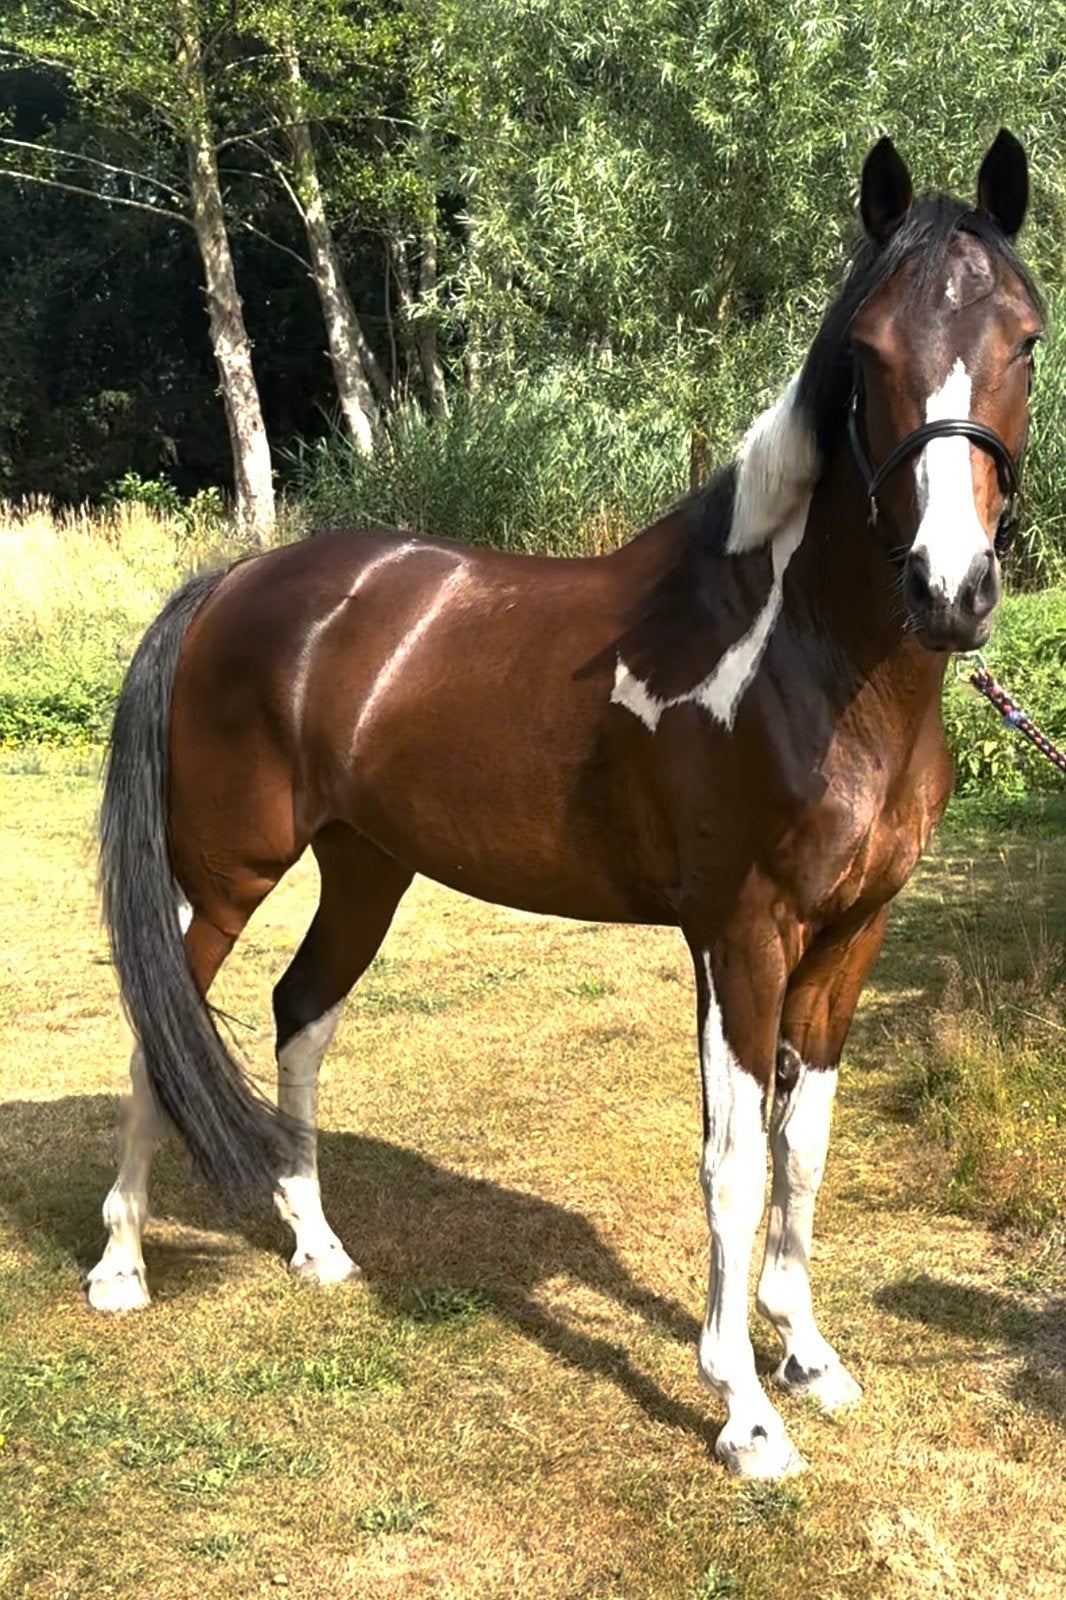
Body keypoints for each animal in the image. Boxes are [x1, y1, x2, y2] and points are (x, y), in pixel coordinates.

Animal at [87, 131, 1042, 1481]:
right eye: (868, 352)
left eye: (1024, 338)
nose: (950, 588)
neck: (806, 659)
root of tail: (233, 585)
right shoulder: (740, 937)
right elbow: (733, 1162)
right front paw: (744, 1410)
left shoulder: (851, 937)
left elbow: (803, 1148)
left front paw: (808, 1357)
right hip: (223, 869)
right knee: (157, 1027)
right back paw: (120, 1267)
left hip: (365, 867)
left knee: (299, 1015)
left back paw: (317, 1246)